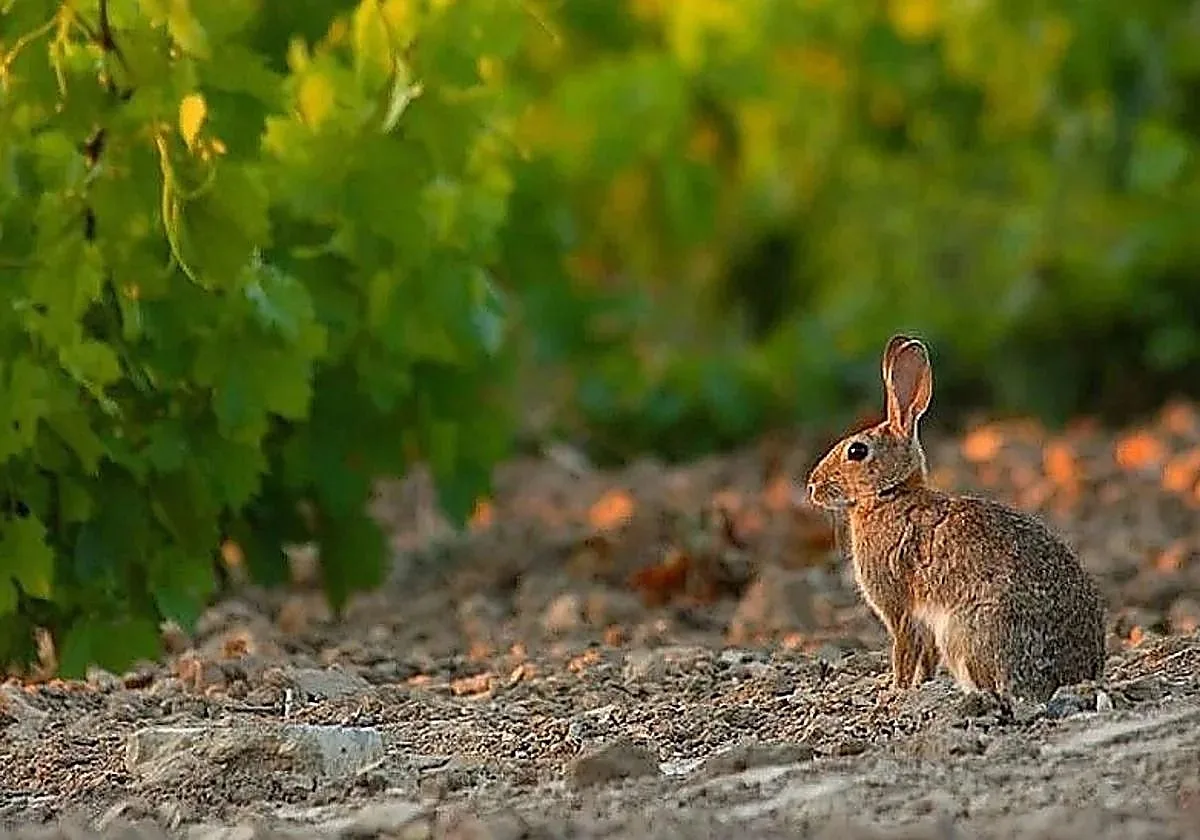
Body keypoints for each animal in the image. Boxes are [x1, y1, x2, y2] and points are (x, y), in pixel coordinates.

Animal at [805, 334, 1106, 702]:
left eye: (857, 451)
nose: (812, 486)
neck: (891, 494)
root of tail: (1074, 676)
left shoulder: (899, 608)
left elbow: (903, 651)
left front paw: (895, 691)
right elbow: (925, 657)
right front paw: (919, 686)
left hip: (965, 632)